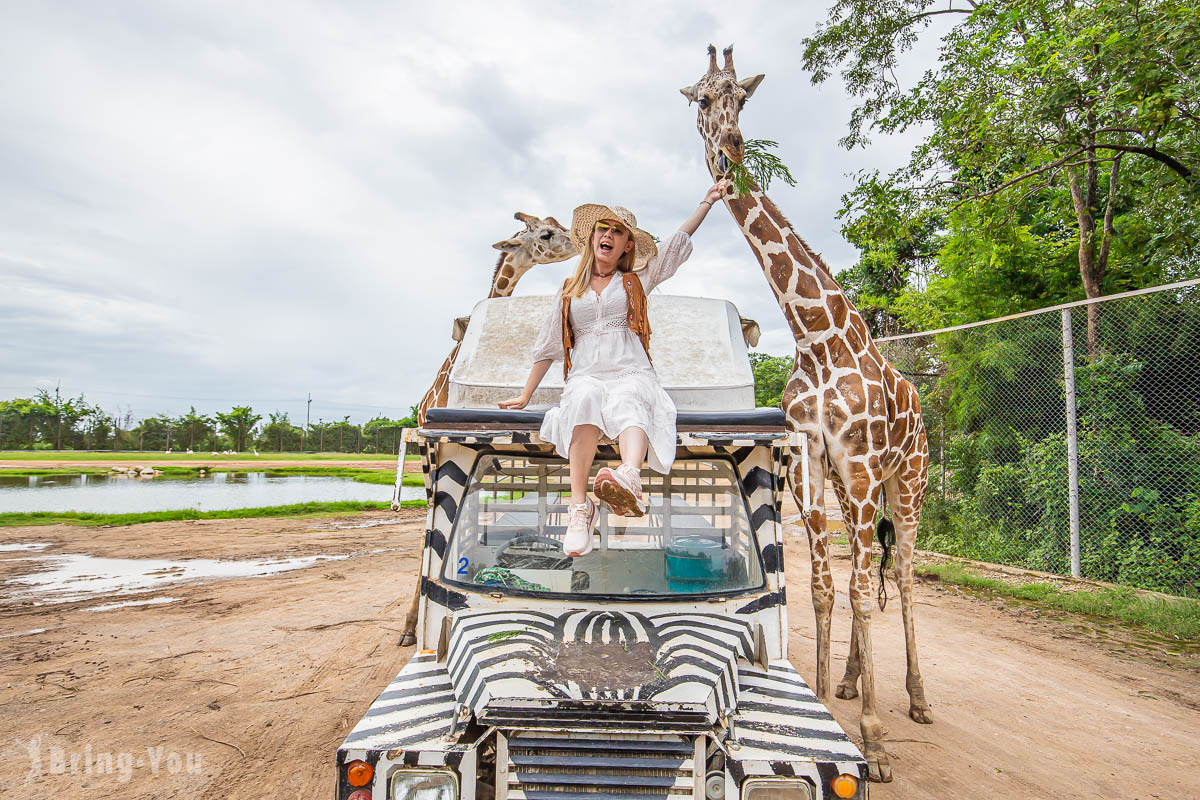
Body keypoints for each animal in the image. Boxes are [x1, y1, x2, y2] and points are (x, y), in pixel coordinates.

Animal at [686, 45, 926, 782]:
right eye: (701, 99)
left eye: (742, 96)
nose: (730, 147)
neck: (816, 335)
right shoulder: (810, 465)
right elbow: (823, 585)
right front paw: (823, 696)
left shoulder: (861, 461)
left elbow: (858, 589)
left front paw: (874, 740)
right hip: (858, 488)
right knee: (860, 571)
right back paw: (849, 681)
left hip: (907, 481)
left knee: (901, 572)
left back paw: (917, 699)